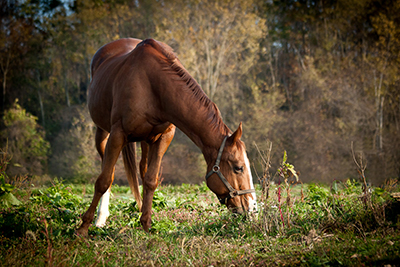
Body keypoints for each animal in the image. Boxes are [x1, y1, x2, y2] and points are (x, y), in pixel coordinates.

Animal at [77, 38, 258, 237]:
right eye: (238, 168)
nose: (253, 209)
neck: (152, 84)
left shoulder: (164, 137)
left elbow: (151, 180)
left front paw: (146, 225)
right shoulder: (118, 135)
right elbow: (103, 180)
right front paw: (83, 228)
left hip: (146, 140)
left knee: (142, 169)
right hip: (103, 133)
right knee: (107, 171)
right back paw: (100, 218)